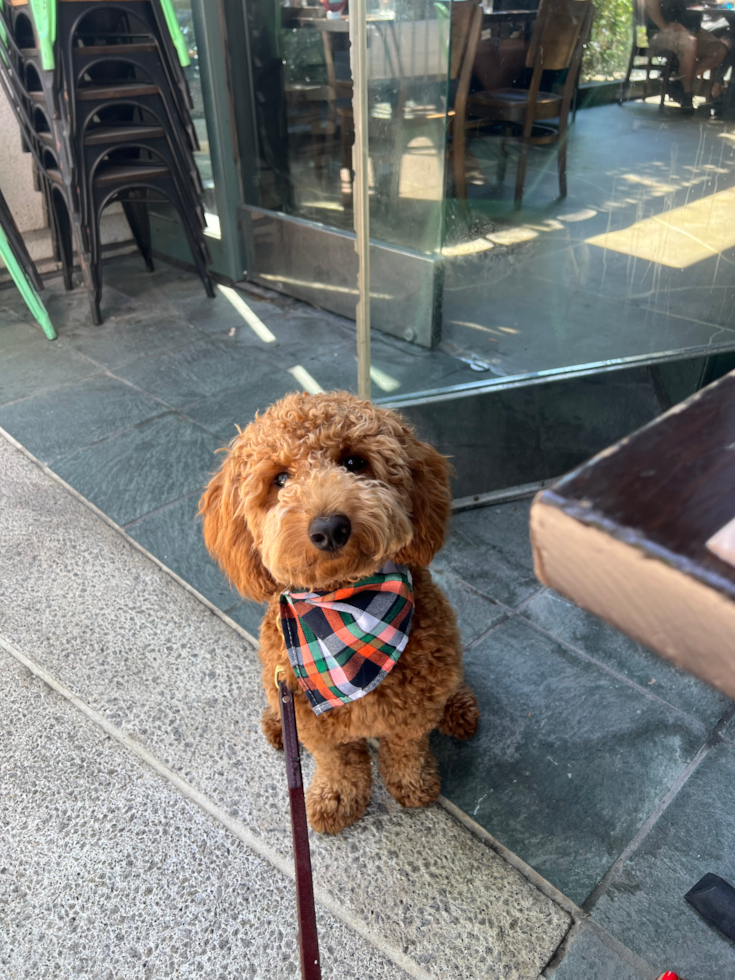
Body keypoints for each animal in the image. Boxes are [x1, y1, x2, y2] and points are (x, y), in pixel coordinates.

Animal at [198, 390, 480, 836]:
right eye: (280, 479)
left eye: (354, 462)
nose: (329, 527)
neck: (346, 607)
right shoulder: (313, 718)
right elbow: (339, 761)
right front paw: (337, 798)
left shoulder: (414, 709)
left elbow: (406, 747)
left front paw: (412, 784)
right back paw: (277, 725)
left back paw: (459, 709)